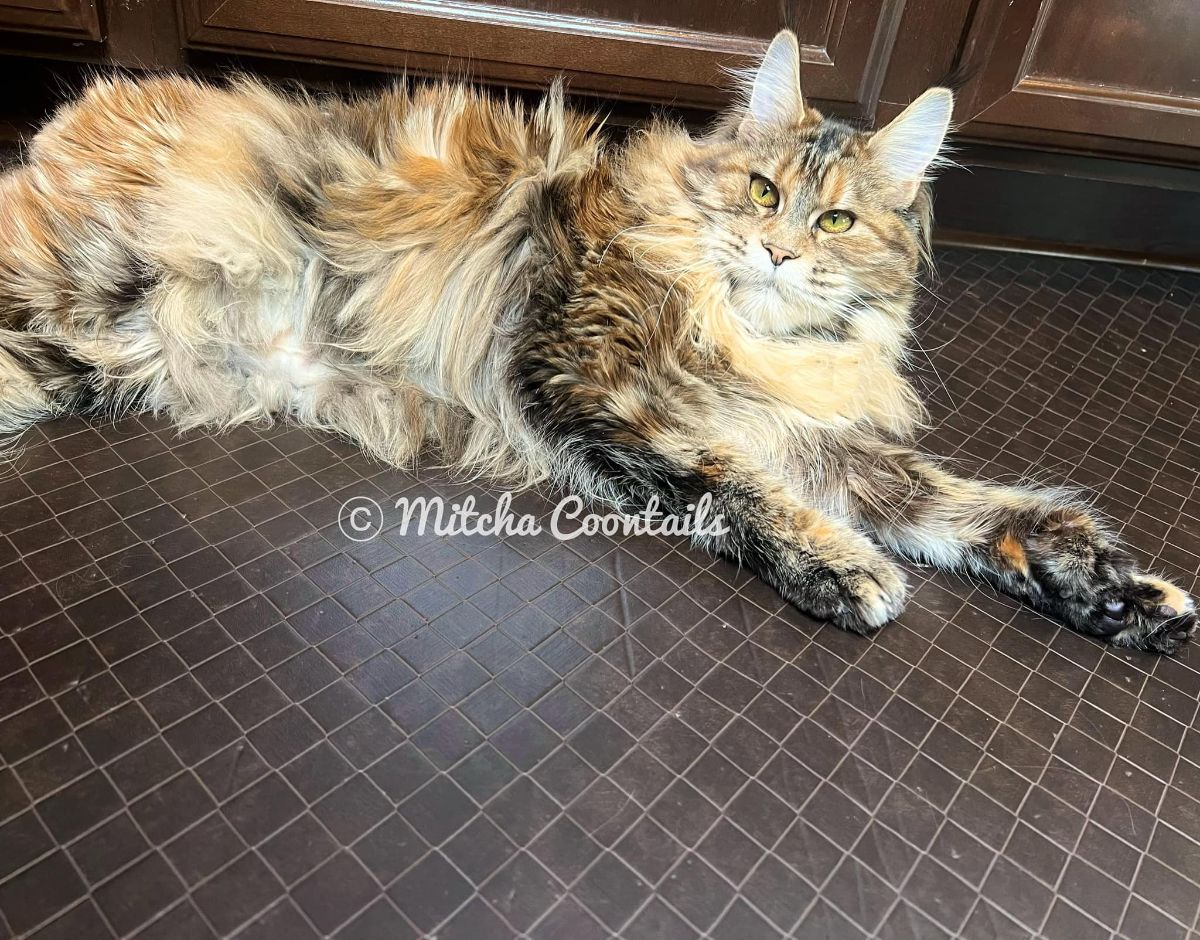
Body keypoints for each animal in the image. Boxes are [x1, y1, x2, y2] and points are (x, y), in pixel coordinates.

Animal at [0, 27, 1195, 648]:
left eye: (837, 223)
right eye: (762, 193)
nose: (776, 253)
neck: (750, 338)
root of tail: (76, 112)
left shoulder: (801, 429)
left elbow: (968, 509)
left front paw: (1122, 596)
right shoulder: (590, 378)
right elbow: (729, 488)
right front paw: (841, 567)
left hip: (82, 356)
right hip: (80, 289)